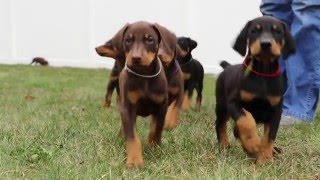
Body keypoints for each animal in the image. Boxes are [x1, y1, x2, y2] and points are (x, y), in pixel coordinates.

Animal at [117, 21, 168, 169]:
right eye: (128, 40)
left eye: (149, 39)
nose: (136, 58)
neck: (144, 75)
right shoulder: (127, 108)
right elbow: (133, 137)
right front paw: (134, 161)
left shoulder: (161, 107)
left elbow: (156, 130)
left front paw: (154, 148)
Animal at [215, 16, 296, 164]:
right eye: (254, 31)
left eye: (278, 32)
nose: (265, 44)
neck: (263, 72)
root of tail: (228, 66)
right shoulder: (233, 103)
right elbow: (246, 120)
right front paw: (252, 144)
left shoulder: (276, 110)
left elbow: (269, 137)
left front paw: (265, 158)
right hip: (222, 105)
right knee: (221, 124)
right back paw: (224, 145)